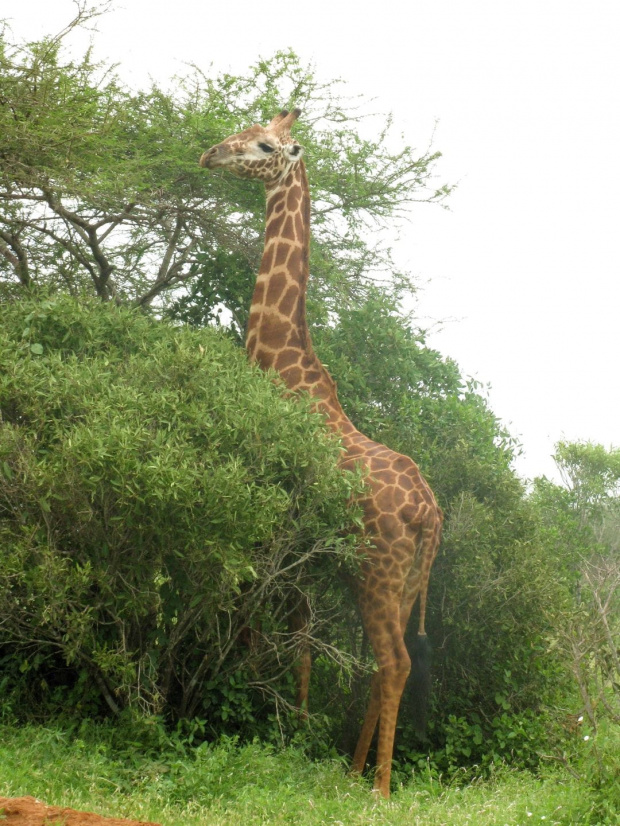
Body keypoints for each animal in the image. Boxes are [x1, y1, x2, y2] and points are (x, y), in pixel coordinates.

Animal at [199, 109, 440, 800]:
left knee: (394, 663)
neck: (284, 369)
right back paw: (353, 771)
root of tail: (432, 517)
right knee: (386, 666)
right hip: (401, 581)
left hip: (376, 575)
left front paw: (279, 726)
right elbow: (303, 641)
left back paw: (380, 789)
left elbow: (270, 631)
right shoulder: (307, 553)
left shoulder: (275, 524)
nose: (210, 154)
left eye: (264, 144)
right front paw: (294, 730)